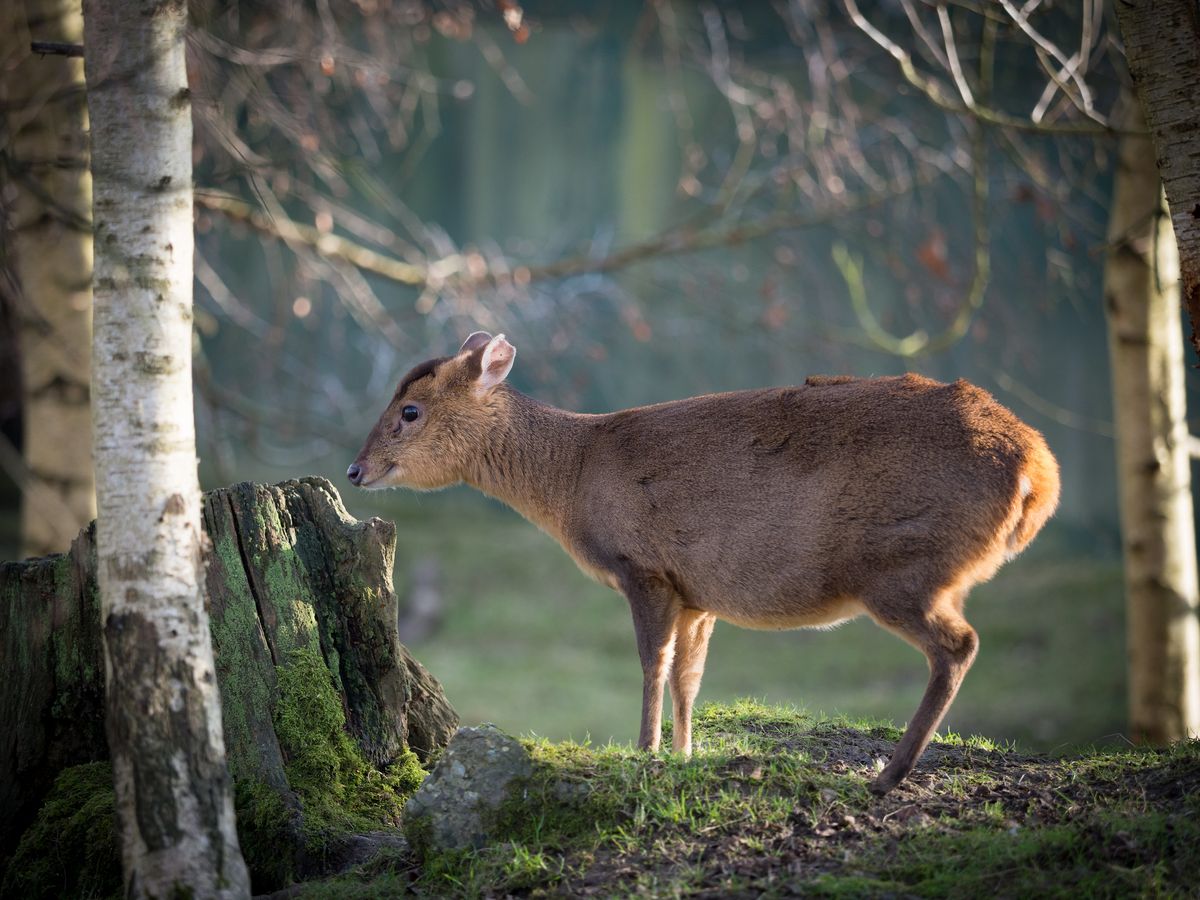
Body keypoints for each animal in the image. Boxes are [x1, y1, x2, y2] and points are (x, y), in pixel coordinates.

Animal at [348, 333, 1060, 796]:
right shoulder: (698, 591)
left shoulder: (643, 566)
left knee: (959, 645)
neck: (575, 476)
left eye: (409, 411)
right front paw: (687, 754)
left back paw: (887, 775)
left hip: (903, 565)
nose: (355, 469)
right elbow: (689, 677)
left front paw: (644, 752)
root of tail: (1039, 469)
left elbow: (652, 665)